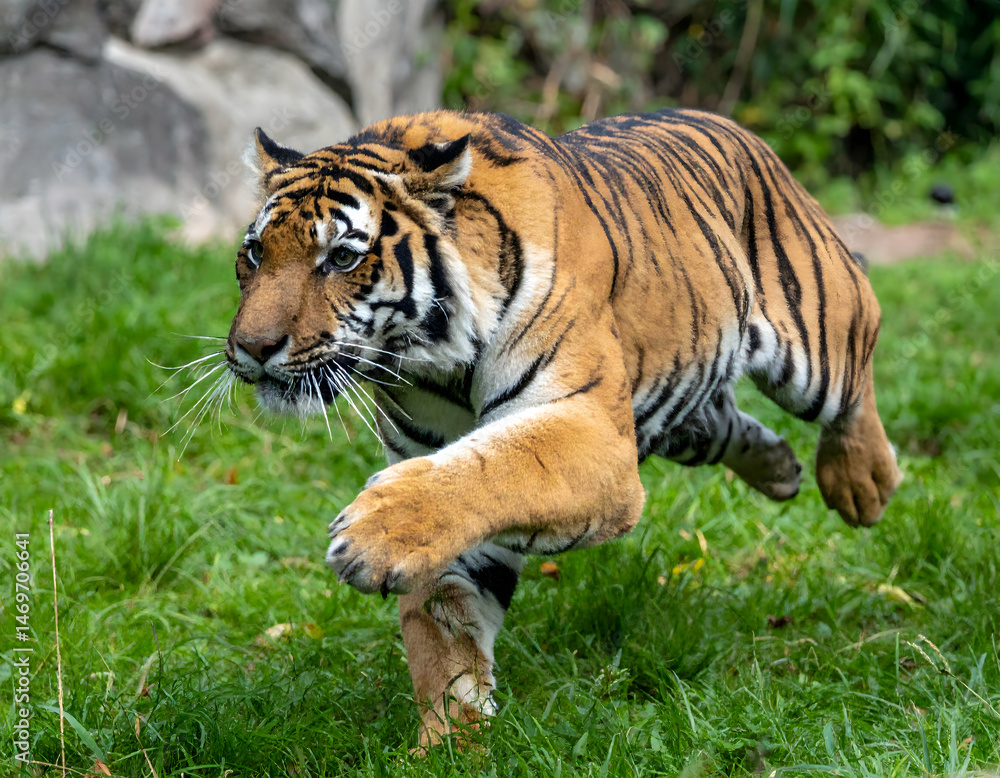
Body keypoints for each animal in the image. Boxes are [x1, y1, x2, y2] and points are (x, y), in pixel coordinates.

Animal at [225, 107, 903, 748]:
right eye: (256, 253)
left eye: (341, 257)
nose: (252, 348)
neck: (432, 361)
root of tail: (738, 128)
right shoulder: (451, 465)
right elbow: (444, 637)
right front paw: (448, 746)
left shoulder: (592, 429)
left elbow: (498, 466)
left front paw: (370, 536)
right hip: (675, 401)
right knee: (723, 422)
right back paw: (781, 469)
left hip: (821, 335)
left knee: (861, 357)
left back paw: (863, 484)